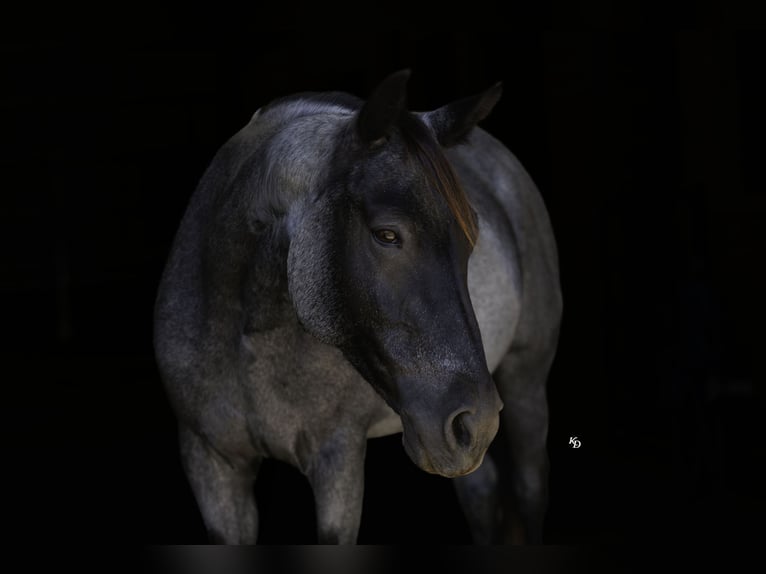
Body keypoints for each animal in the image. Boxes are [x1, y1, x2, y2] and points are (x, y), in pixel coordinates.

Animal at [153, 69, 562, 544]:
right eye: (387, 234)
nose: (475, 423)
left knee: (529, 488)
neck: (249, 341)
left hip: (524, 383)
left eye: (472, 237)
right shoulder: (210, 464)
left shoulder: (338, 458)